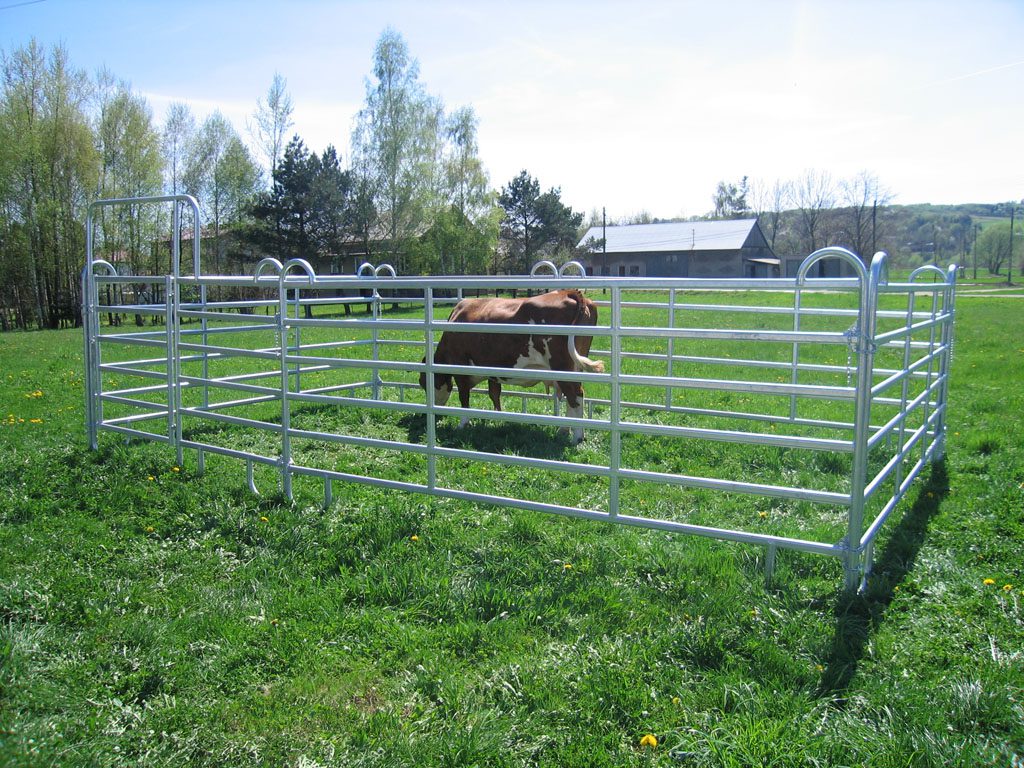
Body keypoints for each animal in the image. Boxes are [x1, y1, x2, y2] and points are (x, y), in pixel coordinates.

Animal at [417, 288, 602, 444]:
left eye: (423, 382)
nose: (433, 412)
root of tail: (568, 292)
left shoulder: (460, 368)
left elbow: (464, 398)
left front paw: (463, 424)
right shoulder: (492, 371)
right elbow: (494, 394)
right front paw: (498, 418)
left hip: (562, 367)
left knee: (575, 395)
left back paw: (577, 437)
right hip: (574, 367)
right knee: (571, 396)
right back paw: (564, 430)